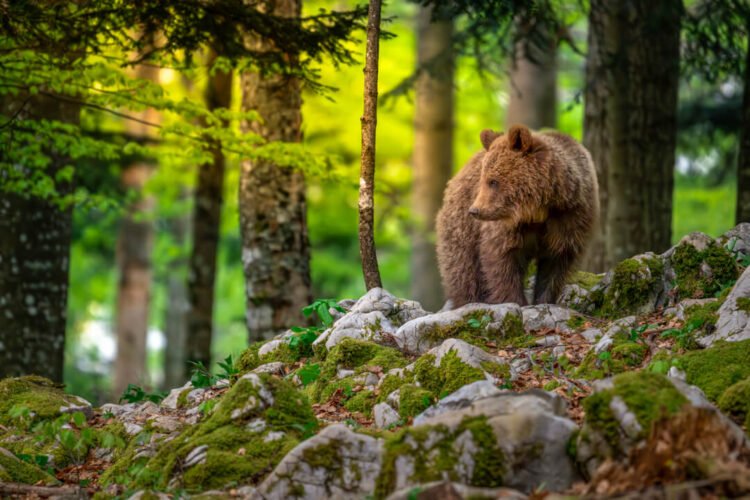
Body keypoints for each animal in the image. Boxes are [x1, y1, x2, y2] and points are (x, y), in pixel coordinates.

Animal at [434, 124, 600, 304]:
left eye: (493, 181)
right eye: (483, 180)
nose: (474, 210)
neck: (537, 211)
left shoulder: (569, 218)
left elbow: (555, 265)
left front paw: (543, 300)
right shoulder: (507, 227)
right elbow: (502, 261)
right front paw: (514, 300)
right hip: (462, 229)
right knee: (464, 271)